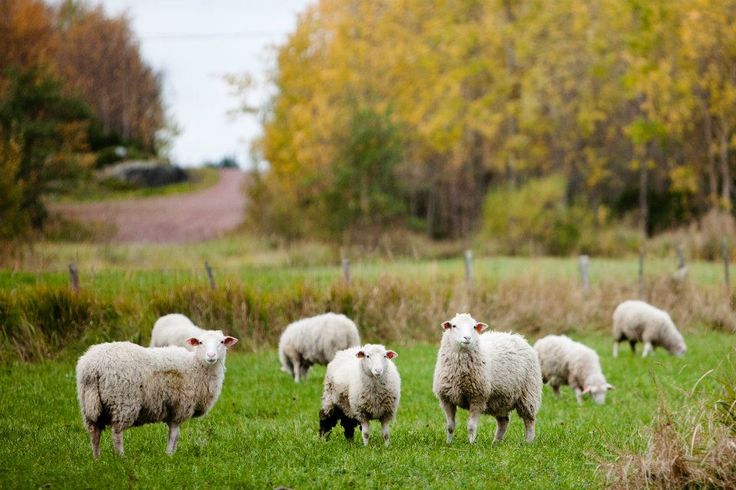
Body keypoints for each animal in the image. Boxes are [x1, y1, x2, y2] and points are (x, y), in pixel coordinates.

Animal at [76, 330, 238, 458]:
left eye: (222, 342)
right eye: (200, 342)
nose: (211, 355)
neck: (197, 365)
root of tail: (93, 367)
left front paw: (170, 454)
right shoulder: (179, 408)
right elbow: (174, 434)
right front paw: (169, 455)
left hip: (89, 403)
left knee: (95, 433)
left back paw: (97, 458)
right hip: (122, 401)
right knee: (117, 432)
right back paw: (121, 457)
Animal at [433, 313, 542, 444]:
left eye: (474, 327)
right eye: (454, 326)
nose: (467, 338)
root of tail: (518, 337)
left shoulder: (477, 398)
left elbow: (471, 427)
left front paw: (471, 444)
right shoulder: (446, 399)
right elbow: (450, 426)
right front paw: (449, 443)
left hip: (528, 393)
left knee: (529, 419)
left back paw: (528, 441)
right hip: (501, 399)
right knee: (503, 421)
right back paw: (496, 443)